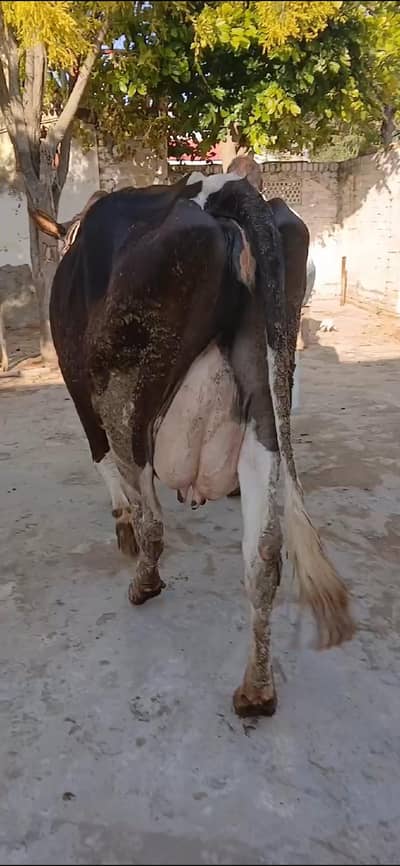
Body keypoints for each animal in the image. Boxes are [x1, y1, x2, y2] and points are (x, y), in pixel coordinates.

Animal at [30, 172, 354, 718]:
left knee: (151, 514)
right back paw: (256, 690)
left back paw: (144, 581)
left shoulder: (76, 384)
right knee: (264, 551)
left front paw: (119, 522)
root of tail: (222, 188)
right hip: (267, 398)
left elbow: (100, 460)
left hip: (125, 395)